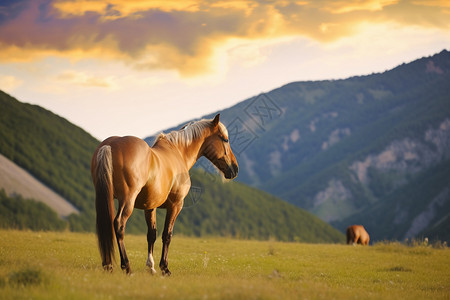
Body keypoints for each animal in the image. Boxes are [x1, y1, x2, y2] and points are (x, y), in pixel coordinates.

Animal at [91, 113, 239, 276]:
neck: (178, 152)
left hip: (105, 197)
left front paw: (151, 267)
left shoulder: (150, 207)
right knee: (118, 224)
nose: (235, 169)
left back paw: (108, 265)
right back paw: (127, 267)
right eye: (225, 139)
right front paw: (164, 268)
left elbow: (152, 234)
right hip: (127, 200)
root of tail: (109, 145)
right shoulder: (175, 205)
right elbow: (167, 235)